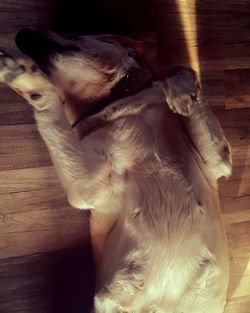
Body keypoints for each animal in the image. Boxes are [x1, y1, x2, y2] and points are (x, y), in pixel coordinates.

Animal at [0, 28, 232, 310]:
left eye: (75, 35)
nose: (21, 34)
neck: (118, 101)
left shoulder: (217, 161)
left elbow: (178, 69)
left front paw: (181, 92)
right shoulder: (87, 189)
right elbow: (51, 114)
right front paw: (30, 83)